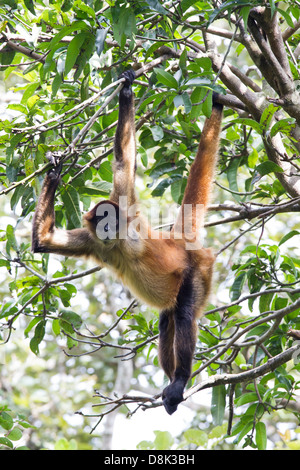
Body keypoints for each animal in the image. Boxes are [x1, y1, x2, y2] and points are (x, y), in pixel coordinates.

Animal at [32, 70, 223, 414]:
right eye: (101, 219)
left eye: (111, 216)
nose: (108, 226)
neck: (116, 243)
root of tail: (179, 240)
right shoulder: (92, 241)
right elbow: (44, 241)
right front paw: (54, 174)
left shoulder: (127, 210)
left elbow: (124, 160)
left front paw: (126, 90)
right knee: (167, 320)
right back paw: (171, 383)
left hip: (198, 269)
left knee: (185, 314)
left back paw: (180, 380)